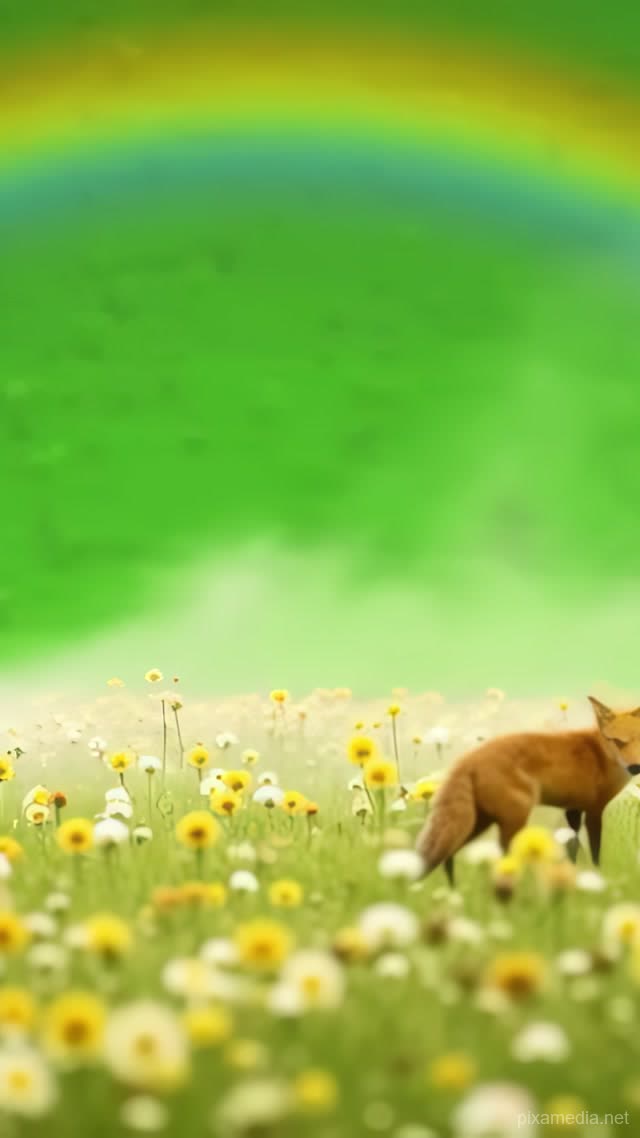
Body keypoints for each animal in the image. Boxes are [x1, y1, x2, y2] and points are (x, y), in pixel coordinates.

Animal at [416, 696, 640, 884]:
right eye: (617, 741)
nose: (635, 768)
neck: (602, 755)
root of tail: (468, 757)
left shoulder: (573, 809)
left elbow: (573, 847)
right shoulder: (594, 810)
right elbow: (594, 852)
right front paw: (597, 877)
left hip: (478, 822)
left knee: (449, 856)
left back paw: (455, 892)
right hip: (512, 819)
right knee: (500, 858)